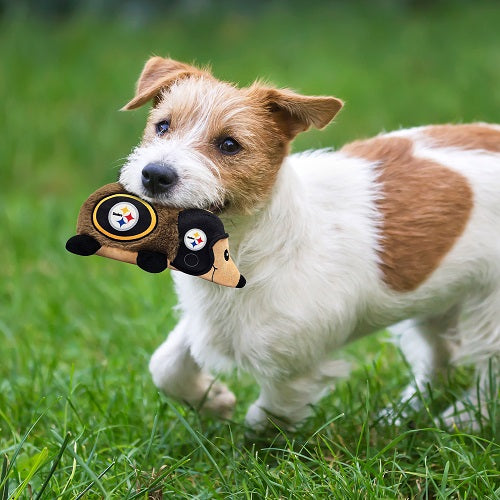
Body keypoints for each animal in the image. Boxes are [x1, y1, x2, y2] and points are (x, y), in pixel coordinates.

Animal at [118, 55, 500, 430]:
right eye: (162, 126)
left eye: (229, 144)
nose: (155, 174)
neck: (243, 245)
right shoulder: (207, 321)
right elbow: (165, 365)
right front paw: (213, 400)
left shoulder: (295, 367)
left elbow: (267, 417)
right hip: (436, 300)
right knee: (440, 357)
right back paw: (401, 415)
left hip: (488, 309)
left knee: (488, 370)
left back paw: (466, 419)